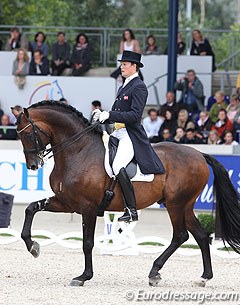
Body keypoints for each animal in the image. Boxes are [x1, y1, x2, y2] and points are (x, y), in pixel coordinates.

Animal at [13, 101, 240, 286]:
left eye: (28, 134)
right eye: (19, 135)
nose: (33, 165)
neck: (78, 151)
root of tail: (200, 154)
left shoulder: (88, 207)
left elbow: (87, 243)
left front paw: (84, 276)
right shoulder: (66, 203)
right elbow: (31, 208)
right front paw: (33, 246)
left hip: (176, 204)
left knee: (180, 235)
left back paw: (155, 272)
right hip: (184, 205)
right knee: (200, 236)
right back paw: (203, 277)